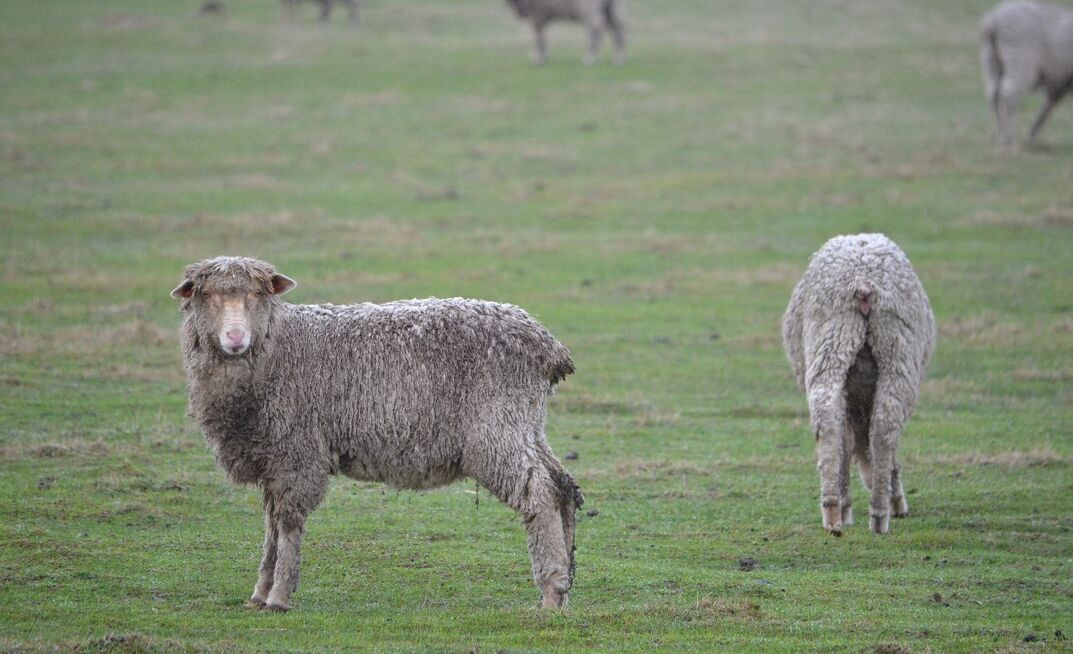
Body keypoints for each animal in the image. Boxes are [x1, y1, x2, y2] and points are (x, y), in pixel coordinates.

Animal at [170, 256, 582, 611]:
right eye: (205, 294)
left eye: (259, 294)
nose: (235, 338)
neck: (277, 348)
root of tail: (548, 347)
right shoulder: (271, 456)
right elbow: (271, 524)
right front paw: (259, 593)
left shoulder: (297, 452)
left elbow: (287, 523)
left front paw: (279, 596)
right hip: (524, 424)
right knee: (562, 486)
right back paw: (565, 586)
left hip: (496, 429)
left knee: (540, 494)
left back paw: (550, 591)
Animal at [782, 234, 935, 536]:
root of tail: (863, 283)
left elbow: (848, 439)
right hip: (891, 350)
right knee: (882, 430)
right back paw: (874, 513)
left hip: (836, 346)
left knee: (832, 423)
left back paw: (838, 513)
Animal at [981, 0, 1073, 148]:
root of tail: (993, 21)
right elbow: (1049, 104)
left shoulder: (1061, 80)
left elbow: (1049, 104)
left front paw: (1030, 134)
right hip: (1020, 61)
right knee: (1008, 95)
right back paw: (1009, 138)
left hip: (990, 60)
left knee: (993, 95)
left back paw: (1002, 135)